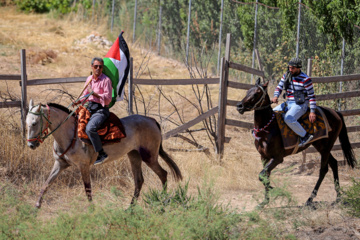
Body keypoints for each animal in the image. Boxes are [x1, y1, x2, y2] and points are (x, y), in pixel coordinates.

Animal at [25, 99, 183, 208]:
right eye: (27, 123)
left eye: (34, 123)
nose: (31, 145)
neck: (70, 133)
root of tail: (151, 120)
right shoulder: (60, 164)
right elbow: (47, 184)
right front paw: (36, 207)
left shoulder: (83, 166)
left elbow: (87, 189)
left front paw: (92, 209)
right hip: (134, 156)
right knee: (139, 180)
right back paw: (130, 208)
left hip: (149, 157)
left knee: (163, 174)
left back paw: (162, 201)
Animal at [235, 79, 356, 207]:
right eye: (248, 91)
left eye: (256, 93)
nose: (239, 106)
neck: (268, 127)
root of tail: (335, 113)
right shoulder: (264, 157)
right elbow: (265, 176)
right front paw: (265, 201)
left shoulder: (277, 158)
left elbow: (262, 175)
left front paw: (274, 190)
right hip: (321, 146)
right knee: (334, 163)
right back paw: (338, 197)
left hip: (326, 147)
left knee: (323, 170)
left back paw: (310, 199)